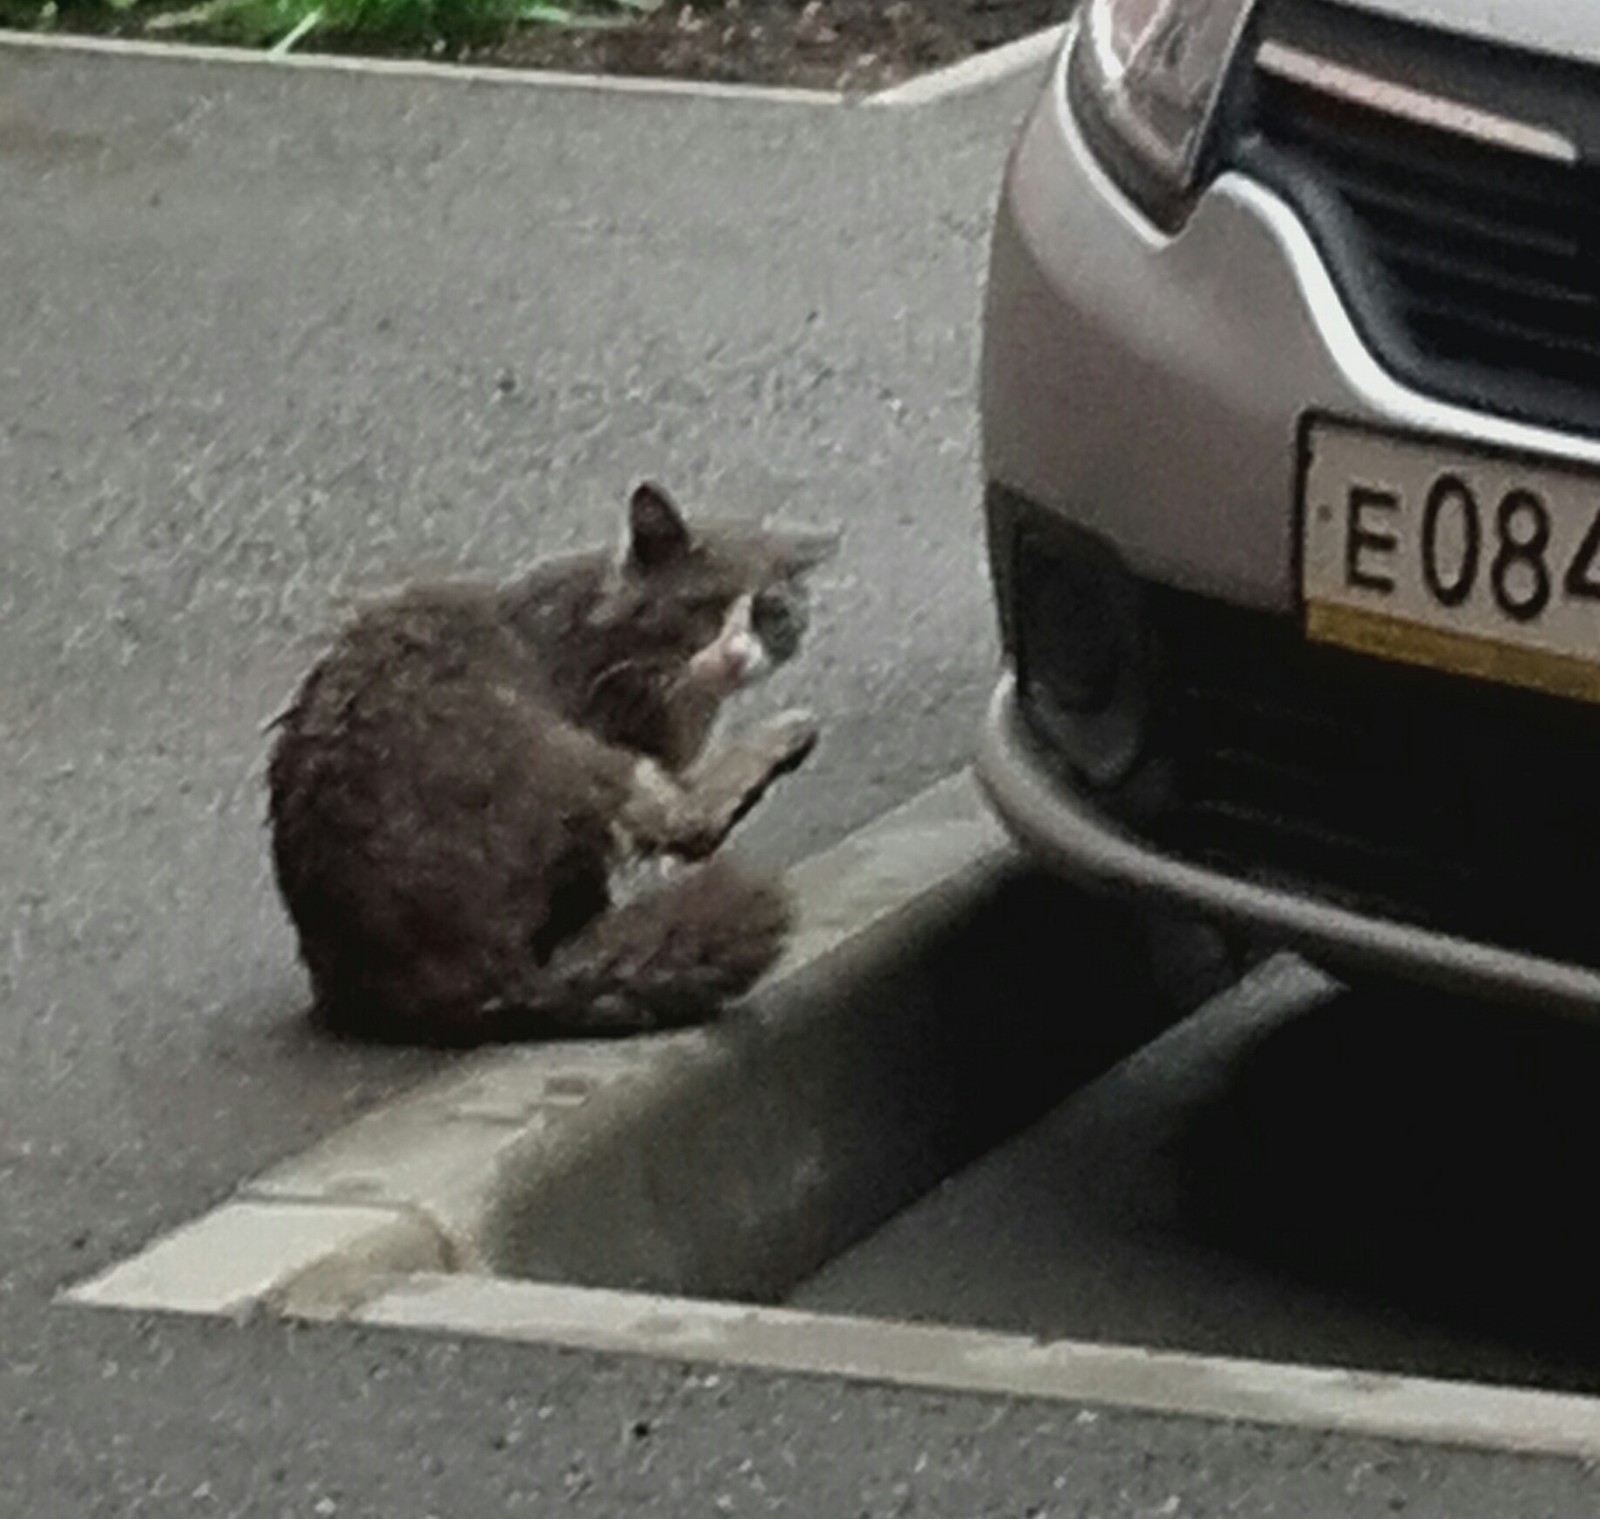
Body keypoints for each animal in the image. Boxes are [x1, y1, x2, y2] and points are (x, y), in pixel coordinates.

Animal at [265, 483, 838, 1043]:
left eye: (771, 620)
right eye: (702, 608)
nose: (737, 655)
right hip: (553, 751)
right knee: (691, 826)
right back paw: (788, 735)